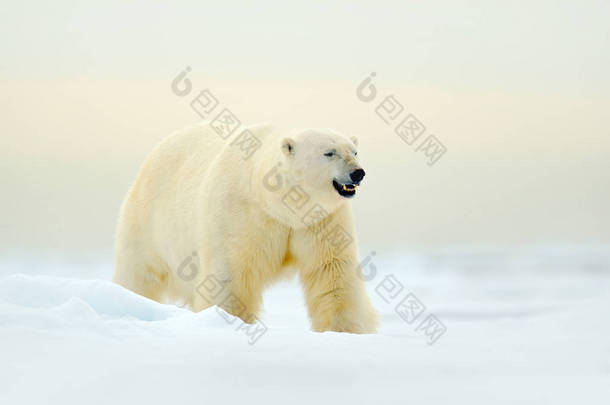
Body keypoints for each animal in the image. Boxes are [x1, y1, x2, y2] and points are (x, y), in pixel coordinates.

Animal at [112, 121, 378, 332]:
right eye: (329, 152)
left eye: (354, 151)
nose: (358, 173)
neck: (277, 203)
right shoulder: (239, 214)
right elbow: (231, 272)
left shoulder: (320, 220)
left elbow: (331, 270)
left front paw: (345, 330)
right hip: (147, 219)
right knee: (137, 273)